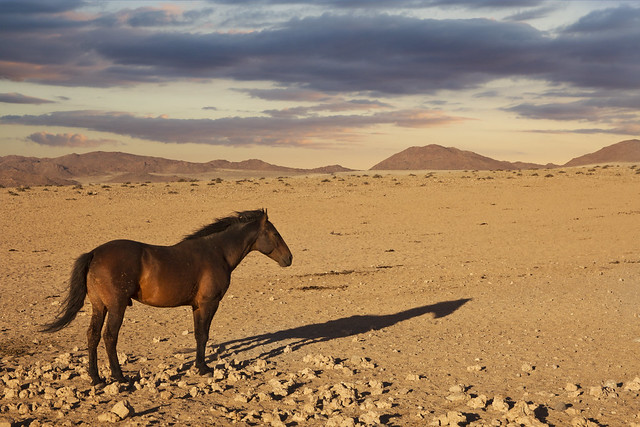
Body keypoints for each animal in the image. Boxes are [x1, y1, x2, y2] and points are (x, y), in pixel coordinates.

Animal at [40, 210, 290, 384]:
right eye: (275, 233)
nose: (289, 258)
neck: (217, 252)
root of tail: (94, 253)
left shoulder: (197, 306)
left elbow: (198, 335)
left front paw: (199, 365)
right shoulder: (209, 304)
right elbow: (204, 335)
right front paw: (204, 368)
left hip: (99, 306)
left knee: (92, 336)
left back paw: (96, 377)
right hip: (116, 307)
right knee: (109, 337)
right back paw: (119, 376)